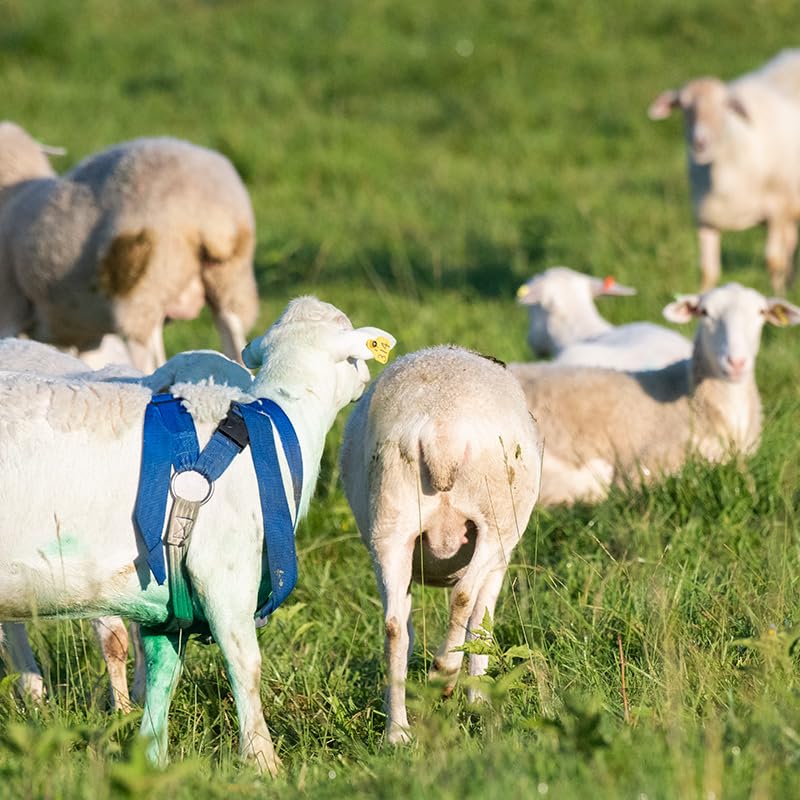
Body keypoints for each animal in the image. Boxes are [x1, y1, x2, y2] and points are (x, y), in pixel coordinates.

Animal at [0, 121, 259, 371]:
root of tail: (213, 213)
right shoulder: (86, 334)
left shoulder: (10, 311)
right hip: (229, 284)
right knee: (235, 345)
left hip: (142, 290)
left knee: (150, 362)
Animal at [340, 345, 541, 743]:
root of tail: (441, 432)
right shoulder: (500, 563)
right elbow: (482, 624)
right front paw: (479, 701)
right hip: (496, 522)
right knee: (462, 596)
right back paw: (444, 673)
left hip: (390, 524)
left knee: (394, 628)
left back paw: (397, 731)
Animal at [648, 50, 800, 293]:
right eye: (684, 105)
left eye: (725, 105)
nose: (700, 142)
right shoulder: (705, 220)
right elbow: (707, 270)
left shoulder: (777, 211)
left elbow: (774, 261)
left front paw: (778, 296)